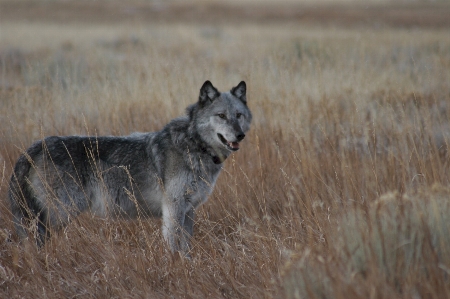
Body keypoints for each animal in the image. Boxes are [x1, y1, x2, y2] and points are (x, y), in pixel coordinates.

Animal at [7, 80, 253, 255]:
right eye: (221, 116)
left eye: (238, 115)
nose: (240, 135)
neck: (195, 144)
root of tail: (34, 147)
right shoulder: (173, 208)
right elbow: (175, 246)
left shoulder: (189, 209)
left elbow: (186, 246)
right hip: (58, 214)